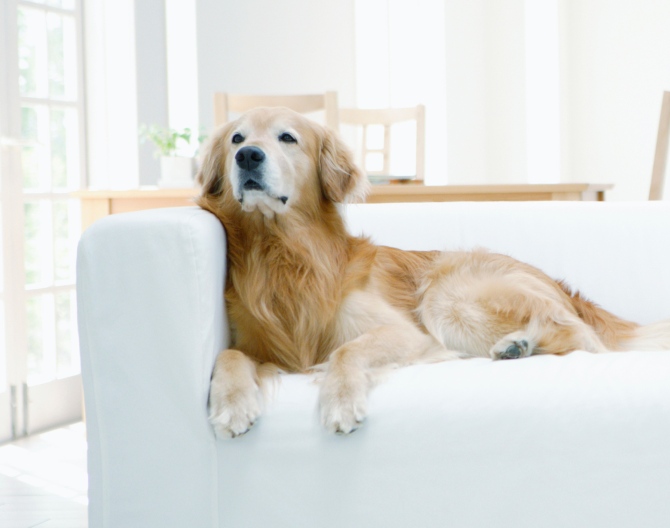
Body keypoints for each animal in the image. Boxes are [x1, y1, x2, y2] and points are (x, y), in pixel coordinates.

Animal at [197, 106, 670, 438]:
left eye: (288, 138)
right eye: (236, 138)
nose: (248, 155)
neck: (282, 253)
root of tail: (561, 287)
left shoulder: (406, 333)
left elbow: (346, 351)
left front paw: (341, 400)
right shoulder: (255, 343)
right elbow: (227, 355)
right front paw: (232, 403)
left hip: (447, 295)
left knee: (586, 341)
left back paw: (518, 344)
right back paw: (515, 347)